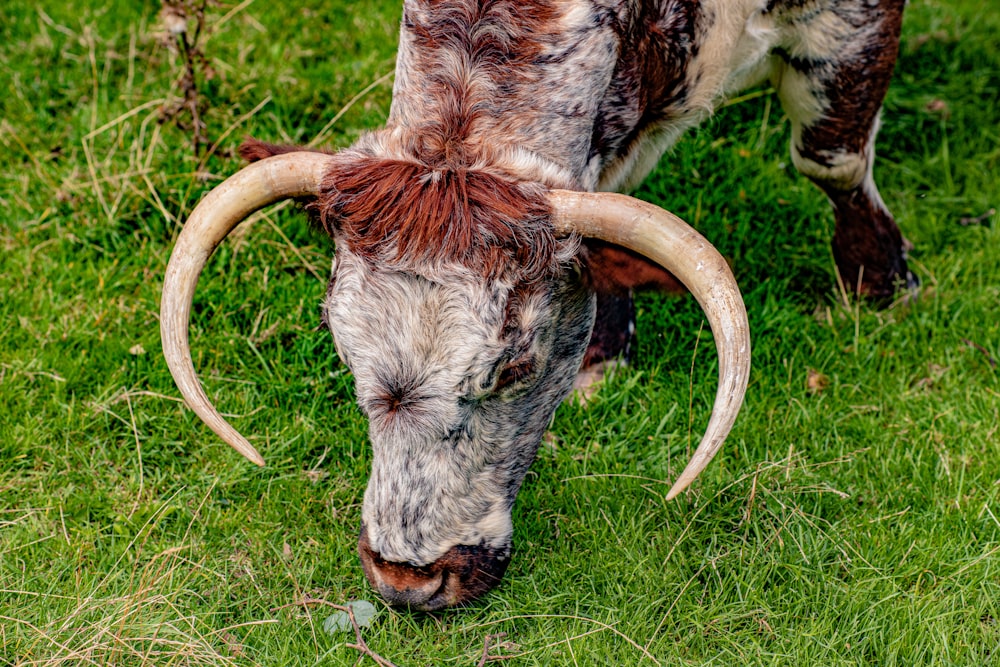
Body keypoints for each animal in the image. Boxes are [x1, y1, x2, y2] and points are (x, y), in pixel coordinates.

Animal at [158, 0, 916, 612]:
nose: (408, 583)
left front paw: (880, 278)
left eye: (515, 369)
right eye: (343, 350)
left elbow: (831, 155)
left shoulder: (853, 27)